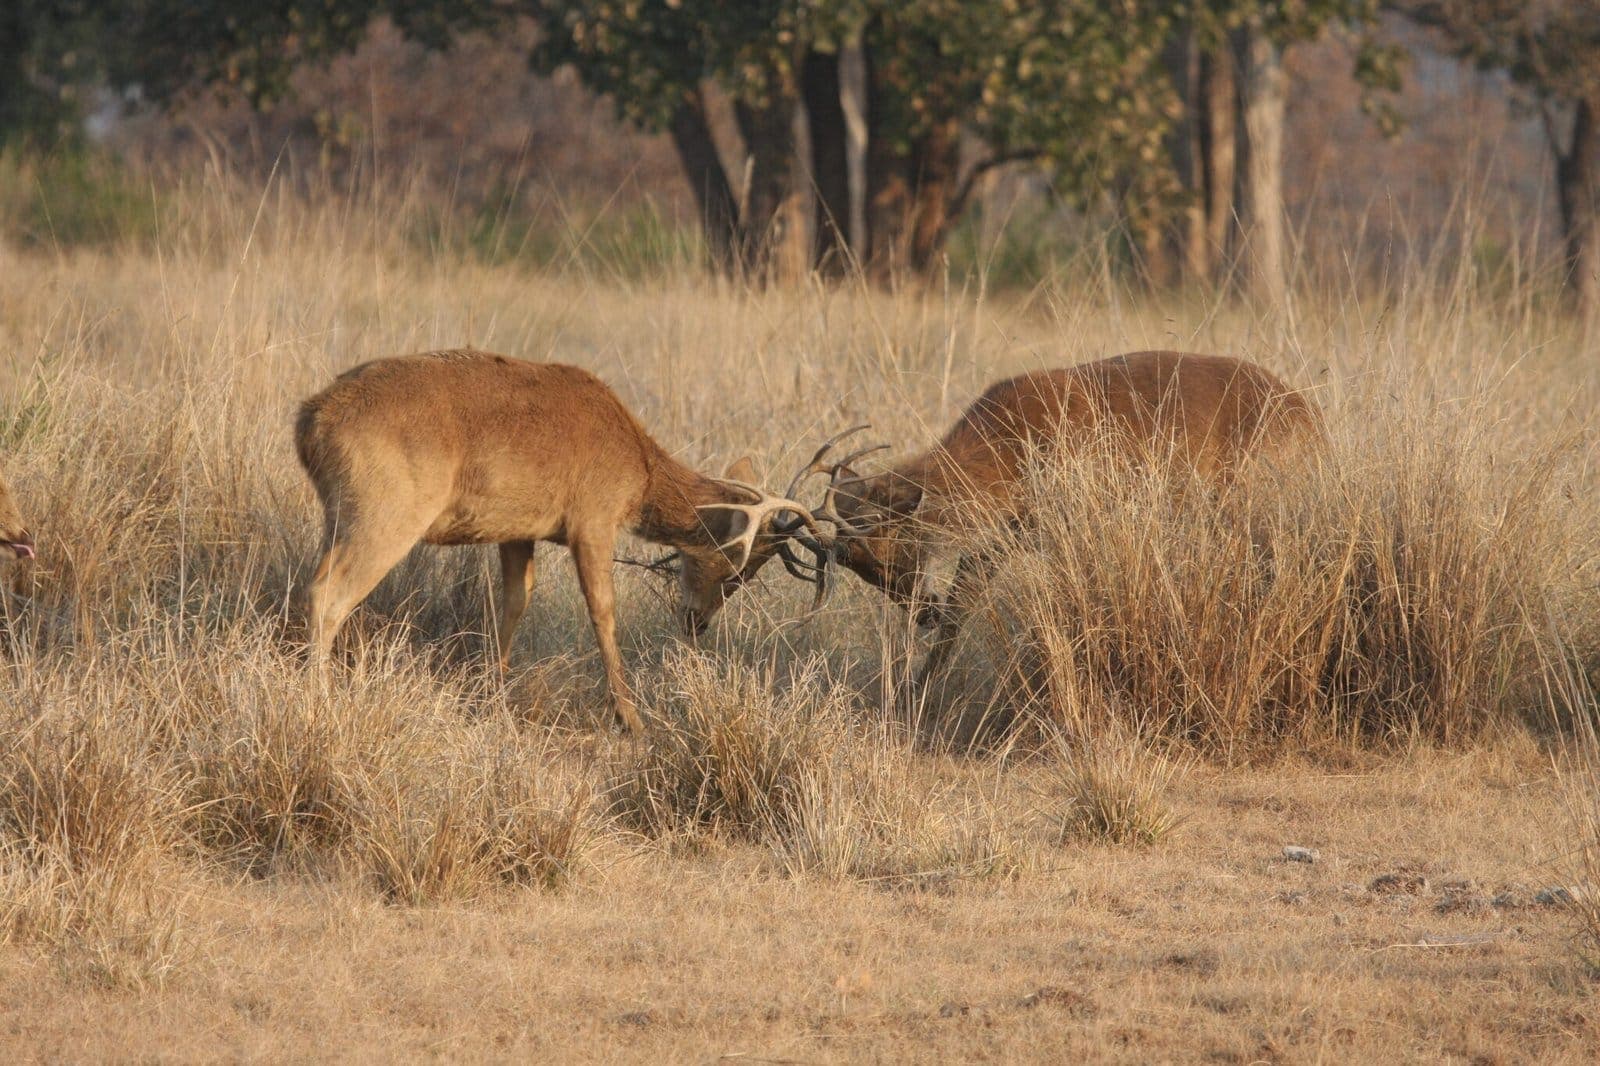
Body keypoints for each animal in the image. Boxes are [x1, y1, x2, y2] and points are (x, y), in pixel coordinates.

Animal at [294, 349, 829, 734]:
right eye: (740, 563)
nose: (697, 621)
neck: (638, 471)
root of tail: (309, 422)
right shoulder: (592, 516)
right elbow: (603, 612)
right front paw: (632, 720)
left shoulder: (517, 531)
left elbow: (515, 601)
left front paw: (493, 696)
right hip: (388, 510)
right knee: (327, 593)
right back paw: (320, 702)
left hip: (341, 514)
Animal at [767, 350, 1326, 689]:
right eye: (861, 570)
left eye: (888, 550)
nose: (921, 612)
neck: (1007, 448)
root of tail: (1307, 414)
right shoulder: (1007, 534)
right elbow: (964, 600)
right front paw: (920, 688)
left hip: (1249, 506)